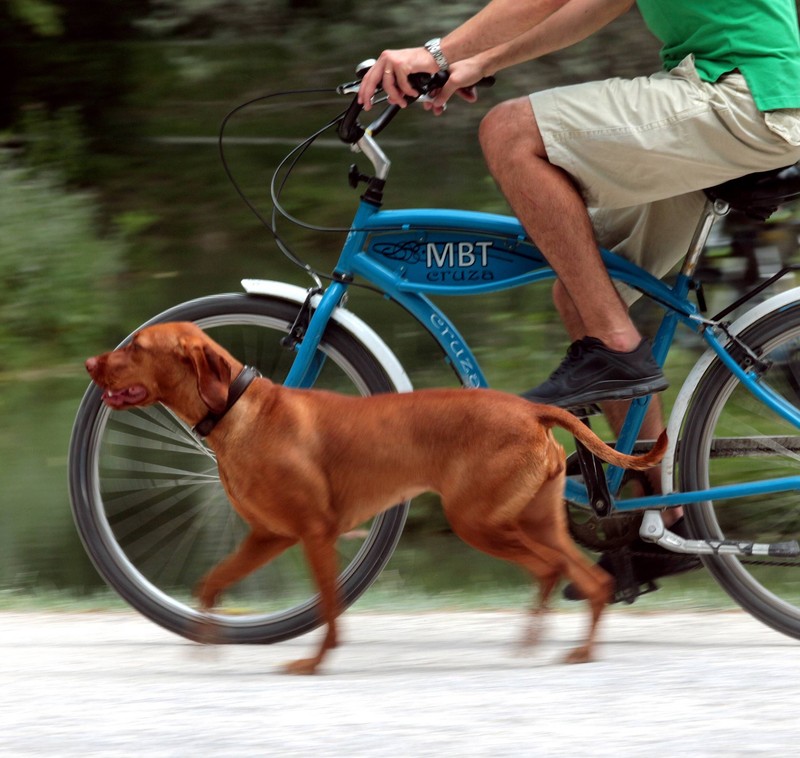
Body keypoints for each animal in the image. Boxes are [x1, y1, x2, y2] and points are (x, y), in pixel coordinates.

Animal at [84, 324, 664, 672]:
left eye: (136, 347)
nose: (90, 362)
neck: (237, 411)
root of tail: (533, 411)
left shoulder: (315, 534)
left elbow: (329, 608)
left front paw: (315, 663)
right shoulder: (269, 536)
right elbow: (210, 583)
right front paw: (205, 642)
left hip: (478, 521)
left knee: (549, 570)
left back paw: (537, 641)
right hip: (537, 521)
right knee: (593, 581)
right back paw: (578, 651)